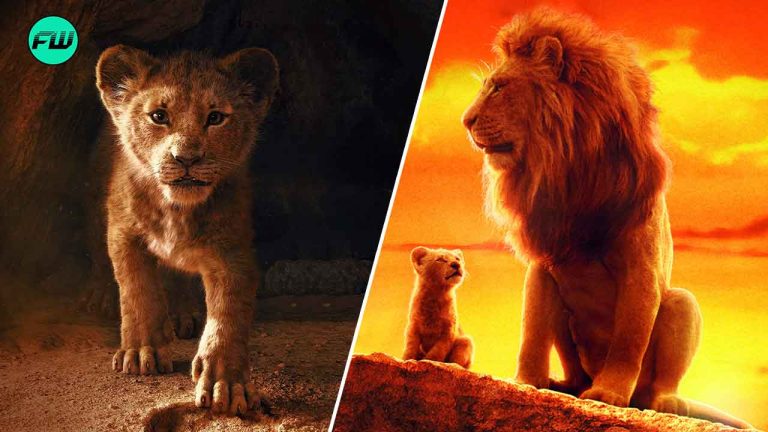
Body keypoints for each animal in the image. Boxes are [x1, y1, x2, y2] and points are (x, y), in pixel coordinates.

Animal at [95, 45, 278, 415]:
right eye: (158, 116)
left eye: (216, 117)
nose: (186, 158)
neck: (176, 209)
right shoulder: (123, 232)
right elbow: (137, 291)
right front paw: (142, 351)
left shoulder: (233, 251)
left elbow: (228, 314)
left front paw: (227, 383)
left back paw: (182, 314)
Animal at [461, 8, 751, 429]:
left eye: (498, 88)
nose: (465, 121)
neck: (569, 166)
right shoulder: (544, 262)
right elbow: (531, 333)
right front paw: (525, 382)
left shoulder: (641, 269)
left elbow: (628, 342)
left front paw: (608, 394)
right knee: (572, 365)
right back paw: (565, 384)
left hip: (681, 303)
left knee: (658, 379)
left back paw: (663, 401)